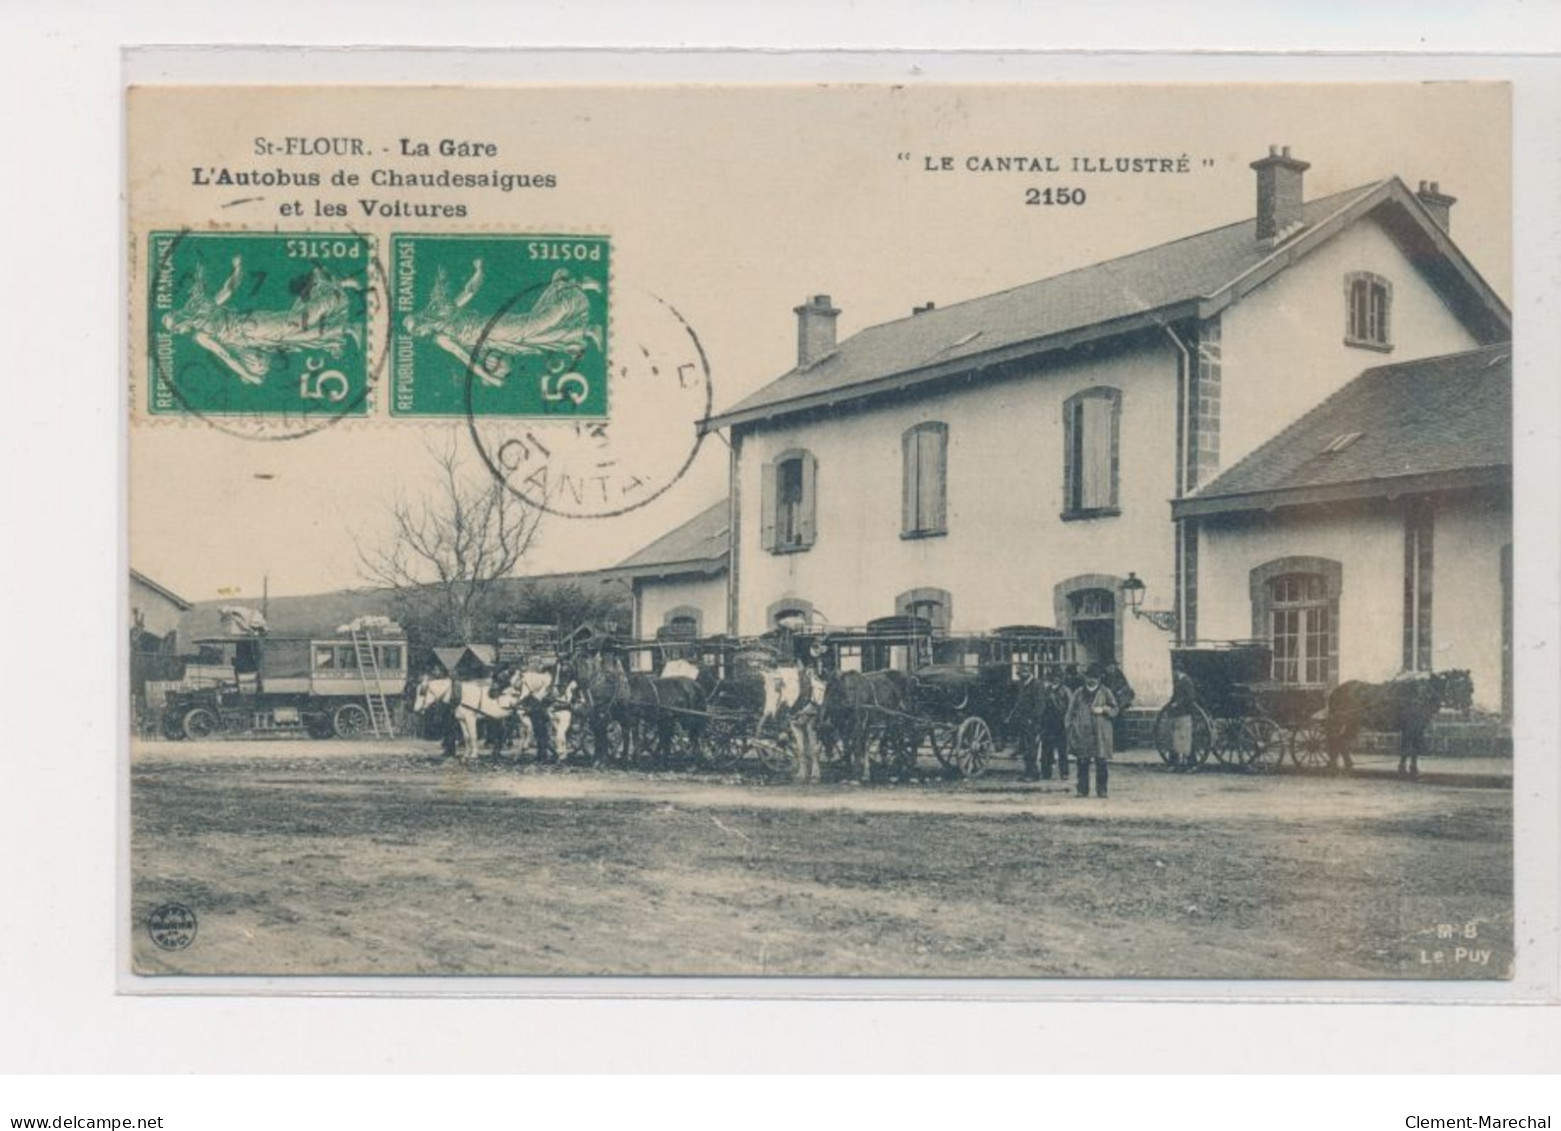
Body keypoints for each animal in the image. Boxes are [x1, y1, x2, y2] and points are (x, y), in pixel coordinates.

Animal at [1323, 670, 1467, 776]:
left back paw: (1346, 764)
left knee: (1341, 741)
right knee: (1335, 740)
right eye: (1457, 686)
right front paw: (1404, 769)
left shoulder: (1418, 728)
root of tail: (1335, 691)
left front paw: (1413, 769)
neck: (1421, 694)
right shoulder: (1409, 727)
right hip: (1341, 720)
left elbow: (1414, 748)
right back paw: (1334, 765)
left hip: (1354, 723)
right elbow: (1406, 749)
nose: (1467, 706)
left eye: (1469, 687)